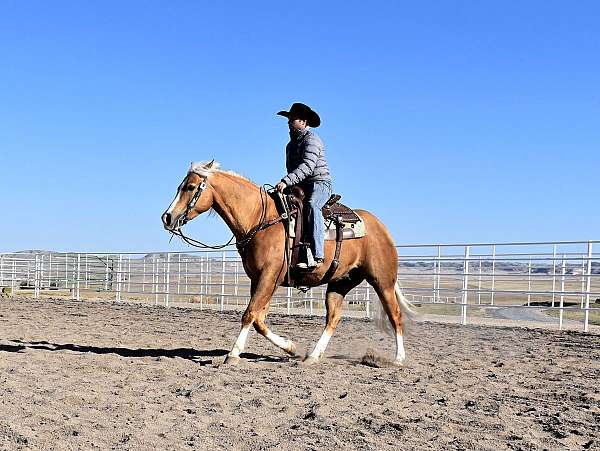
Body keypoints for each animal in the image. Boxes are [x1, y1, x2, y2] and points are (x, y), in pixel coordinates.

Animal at [159, 161, 414, 366]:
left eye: (190, 187)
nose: (167, 217)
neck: (260, 219)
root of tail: (380, 227)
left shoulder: (268, 277)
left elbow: (249, 314)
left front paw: (233, 354)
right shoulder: (262, 280)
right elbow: (259, 319)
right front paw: (290, 348)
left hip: (383, 281)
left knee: (395, 315)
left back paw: (399, 358)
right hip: (340, 283)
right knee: (333, 318)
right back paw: (312, 356)